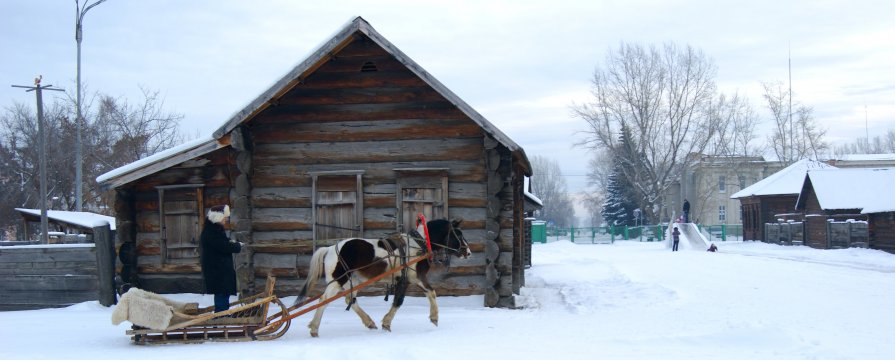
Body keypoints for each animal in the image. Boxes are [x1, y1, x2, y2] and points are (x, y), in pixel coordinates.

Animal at [296, 218, 472, 338]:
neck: (418, 245)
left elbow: (429, 293)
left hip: (352, 281)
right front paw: (387, 323)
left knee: (350, 300)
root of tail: (330, 248)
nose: (468, 252)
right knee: (323, 300)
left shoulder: (412, 279)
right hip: (338, 281)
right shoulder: (412, 278)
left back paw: (369, 322)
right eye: (458, 234)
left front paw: (433, 317)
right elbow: (402, 300)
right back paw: (314, 328)